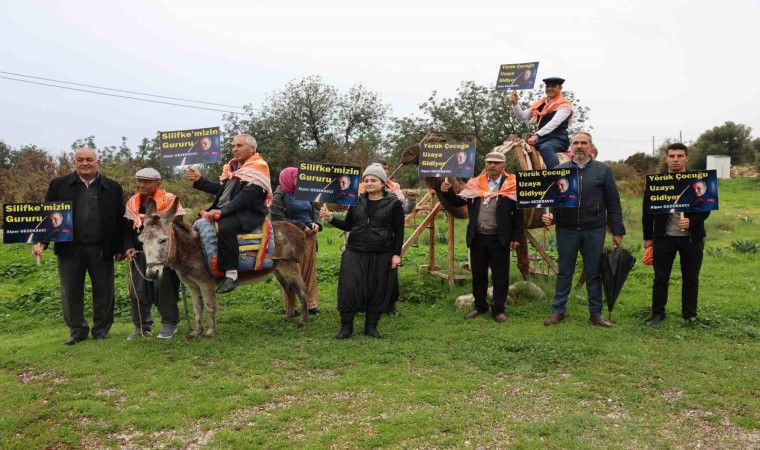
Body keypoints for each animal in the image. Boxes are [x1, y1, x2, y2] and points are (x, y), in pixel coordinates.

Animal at [140, 197, 308, 338]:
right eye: (141, 241)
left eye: (163, 240)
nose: (152, 273)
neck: (191, 248)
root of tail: (298, 230)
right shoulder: (192, 285)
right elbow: (197, 308)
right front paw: (196, 332)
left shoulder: (205, 283)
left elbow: (209, 306)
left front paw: (210, 331)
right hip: (278, 270)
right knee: (289, 290)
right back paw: (288, 316)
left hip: (290, 267)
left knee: (301, 292)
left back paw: (303, 321)